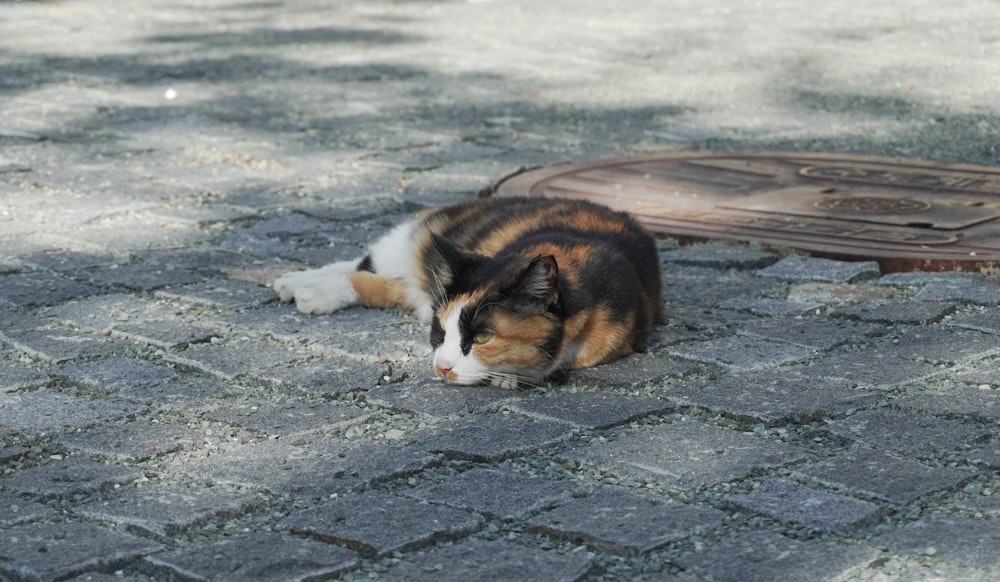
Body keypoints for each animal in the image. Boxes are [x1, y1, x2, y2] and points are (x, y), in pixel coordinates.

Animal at [274, 198, 664, 390]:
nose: (441, 367)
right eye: (440, 331)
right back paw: (300, 283)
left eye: (482, 337)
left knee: (388, 285)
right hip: (412, 240)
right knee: (366, 263)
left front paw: (508, 376)